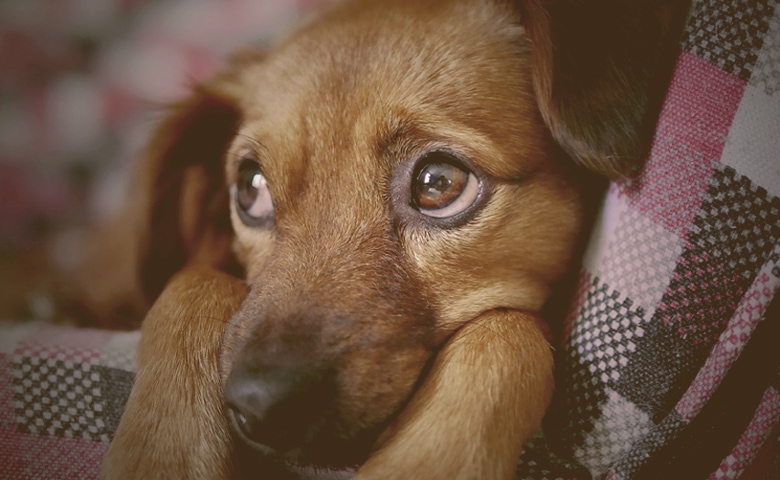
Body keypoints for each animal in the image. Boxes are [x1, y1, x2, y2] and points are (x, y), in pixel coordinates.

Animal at [79, 0, 688, 478]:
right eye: (251, 189)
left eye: (439, 183)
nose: (257, 405)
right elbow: (191, 284)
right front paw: (161, 452)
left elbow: (507, 330)